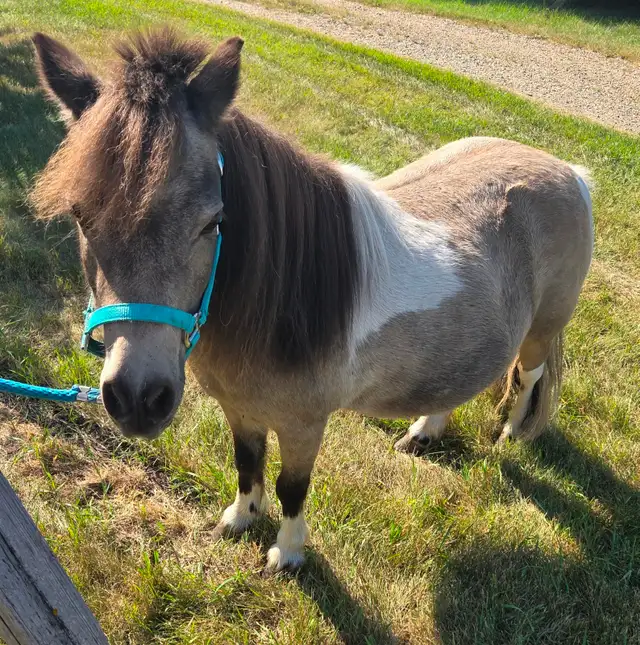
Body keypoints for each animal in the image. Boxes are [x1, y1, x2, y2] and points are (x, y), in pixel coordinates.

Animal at [30, 29, 593, 573]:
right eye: (80, 217)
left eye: (214, 222)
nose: (138, 400)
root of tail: (569, 171)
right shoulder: (240, 409)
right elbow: (246, 462)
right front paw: (239, 518)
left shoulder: (305, 425)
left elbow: (291, 488)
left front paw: (287, 553)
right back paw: (424, 432)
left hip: (540, 332)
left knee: (529, 379)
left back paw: (509, 437)